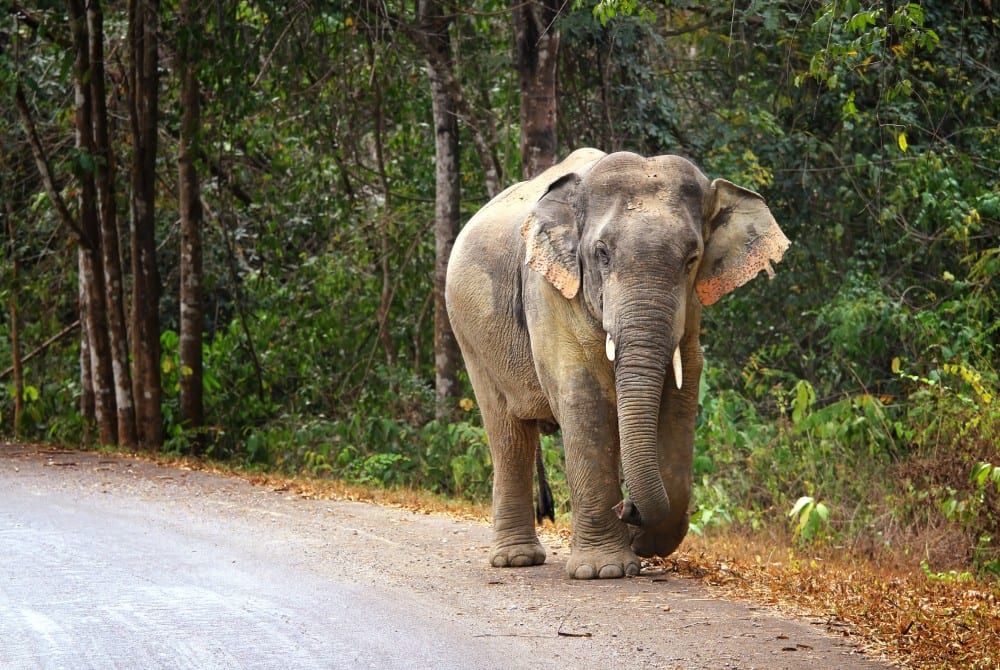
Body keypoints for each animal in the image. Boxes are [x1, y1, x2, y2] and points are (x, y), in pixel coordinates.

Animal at [446, 150, 788, 580]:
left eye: (692, 259)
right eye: (602, 254)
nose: (627, 508)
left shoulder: (690, 311)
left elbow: (680, 399)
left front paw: (642, 543)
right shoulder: (549, 291)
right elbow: (584, 399)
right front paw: (604, 571)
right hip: (470, 336)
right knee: (508, 432)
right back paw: (517, 561)